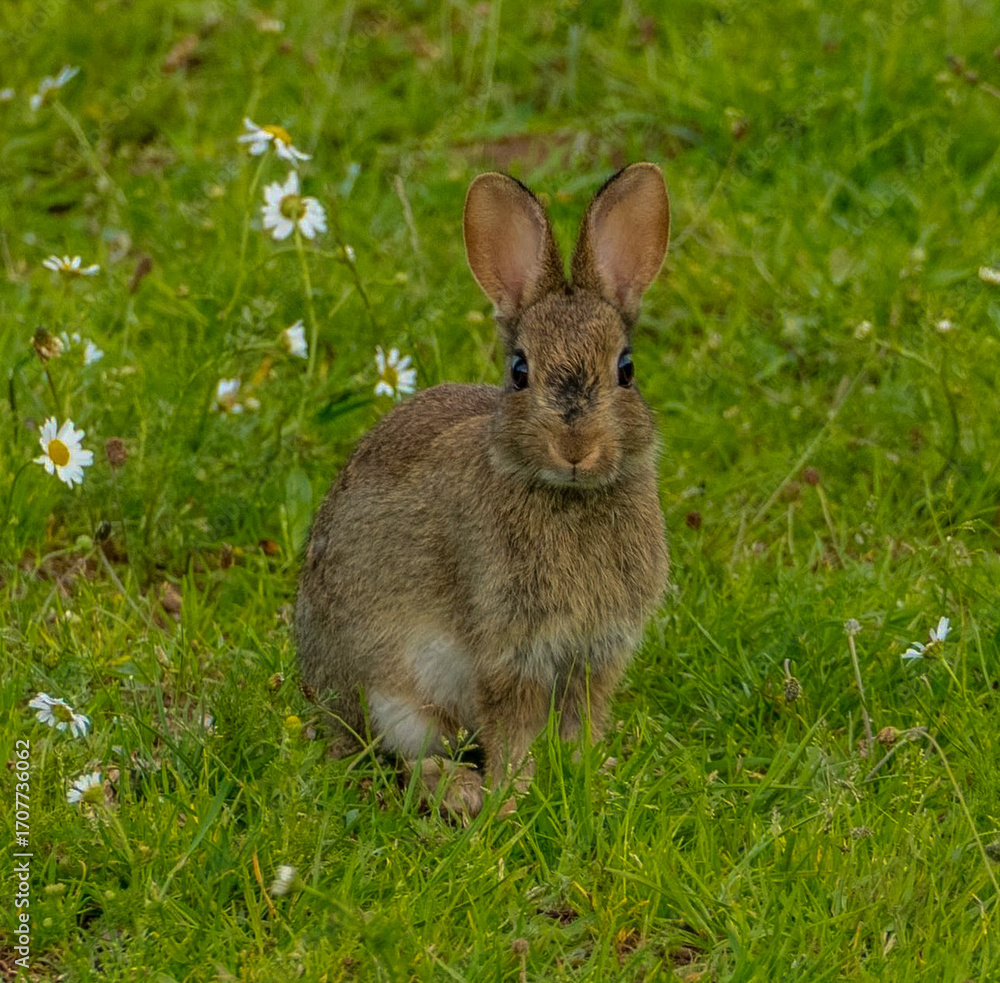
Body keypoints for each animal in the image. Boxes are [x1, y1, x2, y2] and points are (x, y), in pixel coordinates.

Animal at [296, 163, 671, 815]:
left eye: (626, 370)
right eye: (519, 371)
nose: (576, 449)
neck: (568, 497)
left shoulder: (595, 654)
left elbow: (581, 724)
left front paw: (590, 779)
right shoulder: (508, 651)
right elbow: (513, 730)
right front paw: (512, 799)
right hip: (395, 697)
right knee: (405, 759)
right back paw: (462, 794)